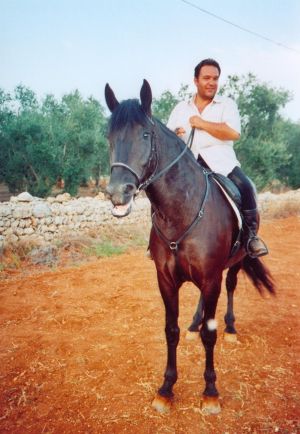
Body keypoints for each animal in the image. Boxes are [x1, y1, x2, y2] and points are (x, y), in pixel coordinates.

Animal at [104, 79, 276, 416]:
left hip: (234, 262)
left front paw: (210, 392)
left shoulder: (211, 277)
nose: (118, 193)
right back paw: (194, 323)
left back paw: (231, 328)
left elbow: (211, 334)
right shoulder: (166, 280)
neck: (182, 210)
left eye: (145, 134)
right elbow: (170, 331)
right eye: (109, 137)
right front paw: (166, 389)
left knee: (231, 287)